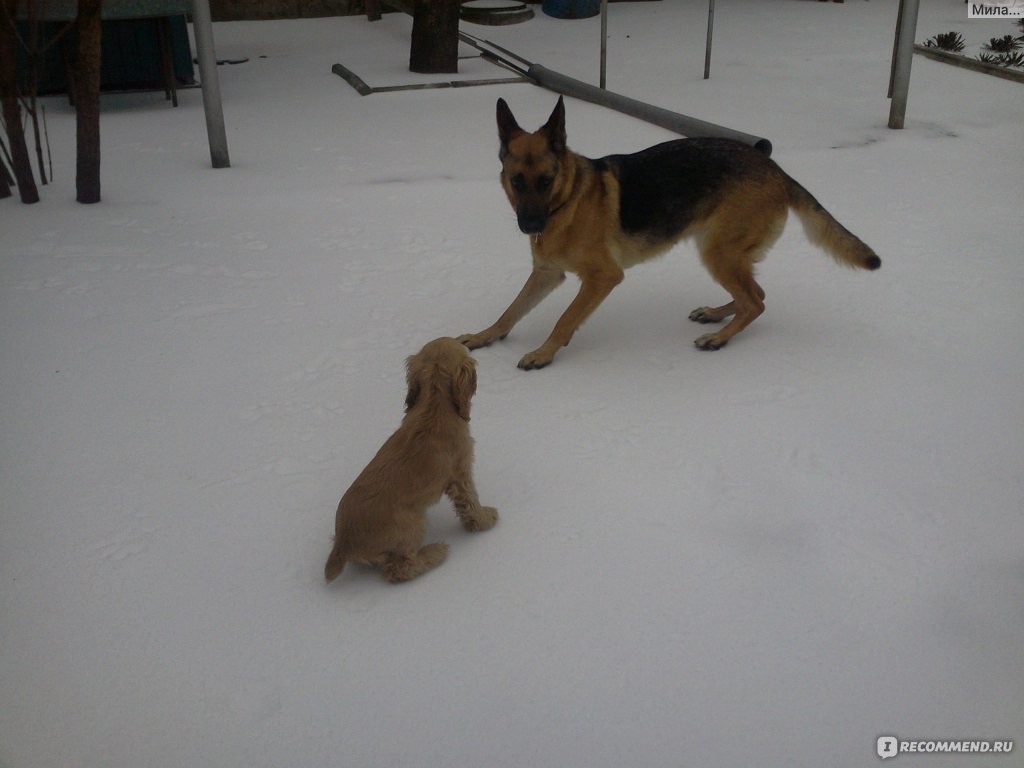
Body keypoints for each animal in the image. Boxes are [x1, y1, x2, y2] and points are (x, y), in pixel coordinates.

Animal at [321, 335, 493, 581]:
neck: (434, 406)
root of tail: (342, 545)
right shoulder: (461, 474)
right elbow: (471, 503)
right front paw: (487, 519)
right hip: (414, 525)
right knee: (401, 568)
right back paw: (436, 552)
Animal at [456, 96, 880, 370]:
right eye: (517, 181)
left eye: (545, 181)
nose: (530, 226)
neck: (568, 199)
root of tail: (775, 168)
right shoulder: (547, 273)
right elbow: (510, 311)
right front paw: (484, 336)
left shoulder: (602, 278)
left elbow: (564, 319)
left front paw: (544, 353)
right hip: (719, 250)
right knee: (754, 294)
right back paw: (716, 314)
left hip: (717, 252)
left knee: (756, 302)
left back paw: (719, 338)